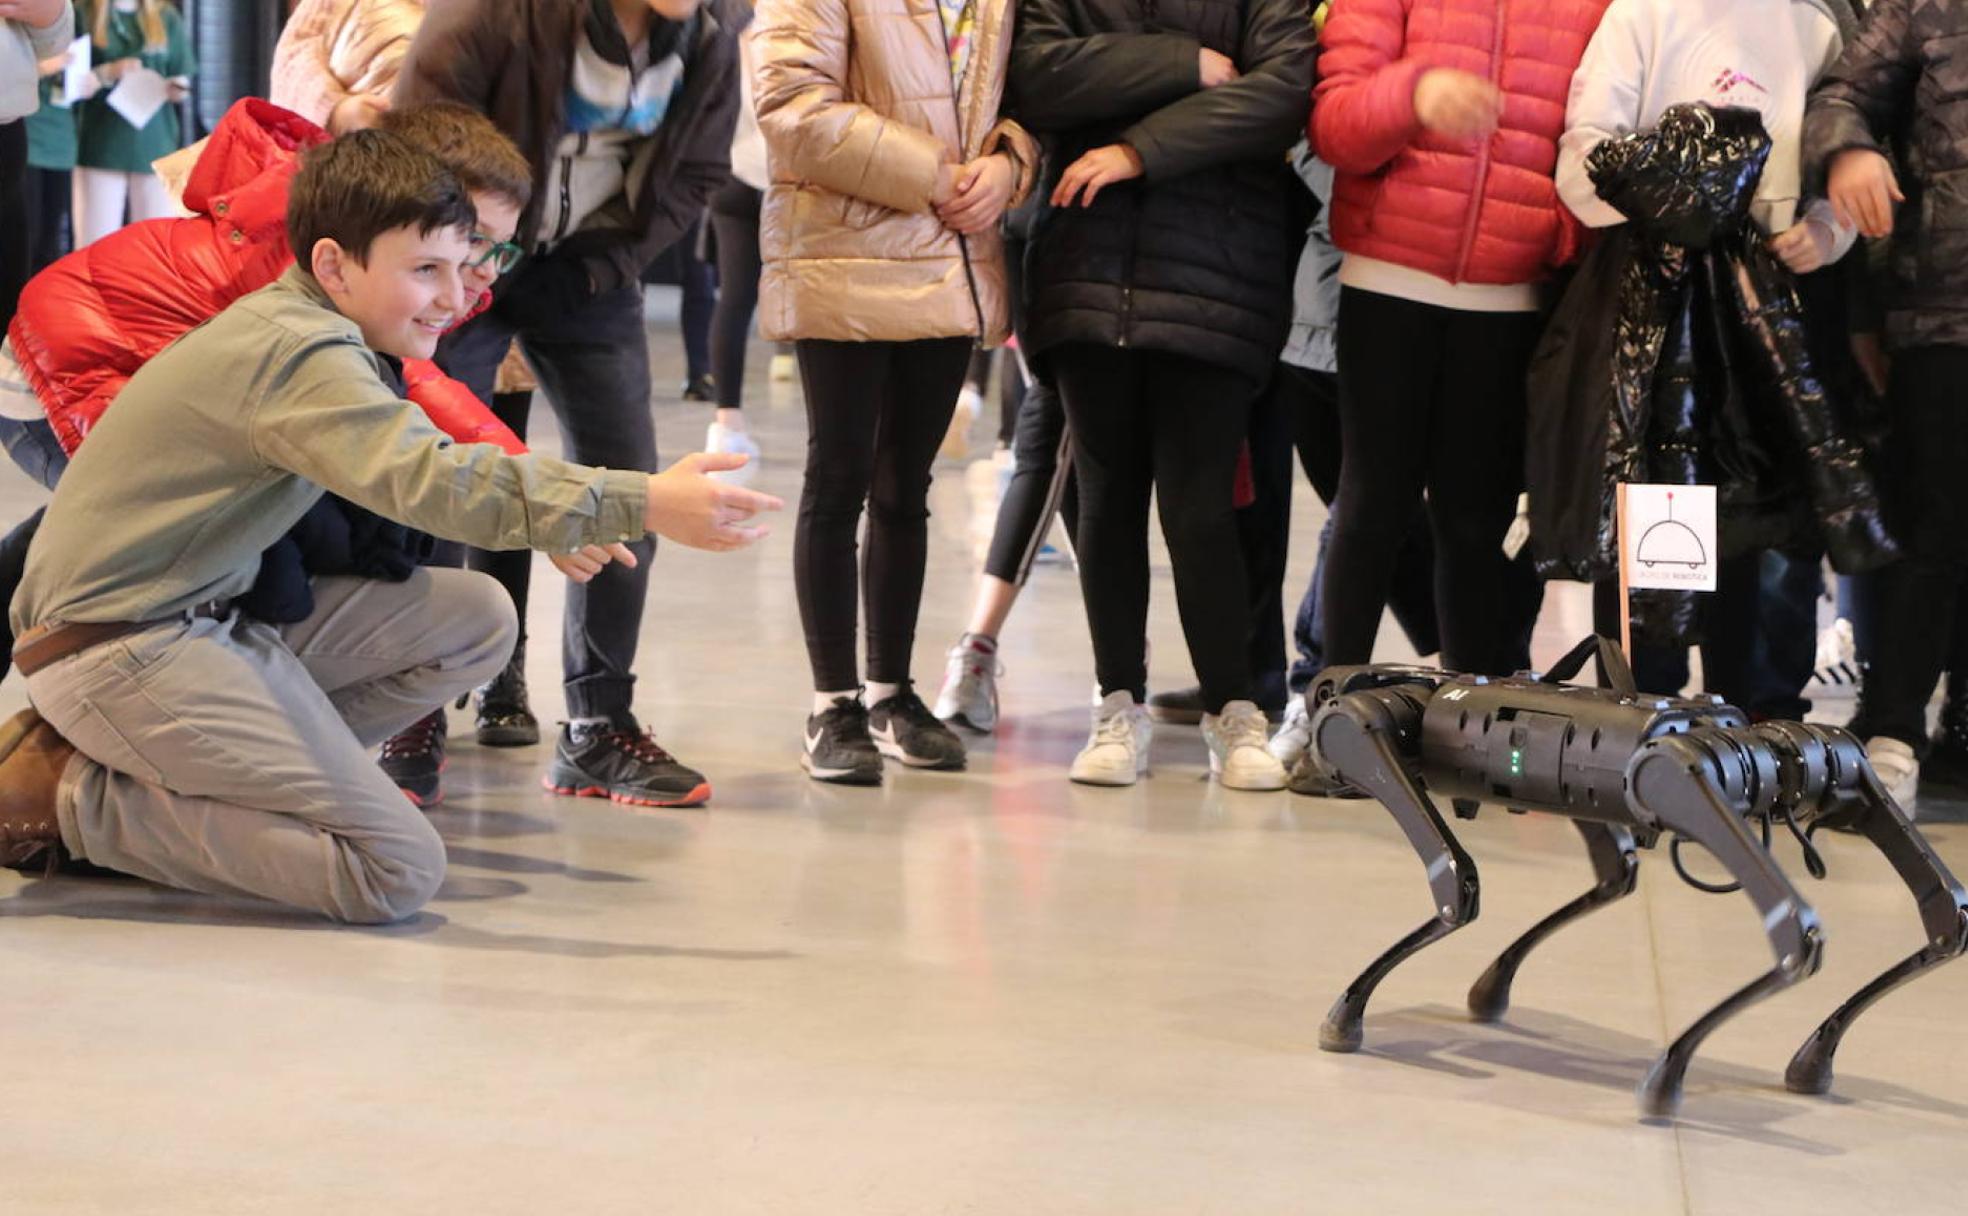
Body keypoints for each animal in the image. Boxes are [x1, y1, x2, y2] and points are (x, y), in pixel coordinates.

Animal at [1306, 633, 1968, 1117]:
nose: (1318, 697)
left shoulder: (1668, 774)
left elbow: (1454, 881)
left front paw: (1346, 1013)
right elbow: (1610, 875)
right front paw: (1487, 988)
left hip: (1710, 773)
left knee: (1799, 933)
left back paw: (1673, 1075)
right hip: (1837, 763)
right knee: (1946, 913)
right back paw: (1808, 1058)